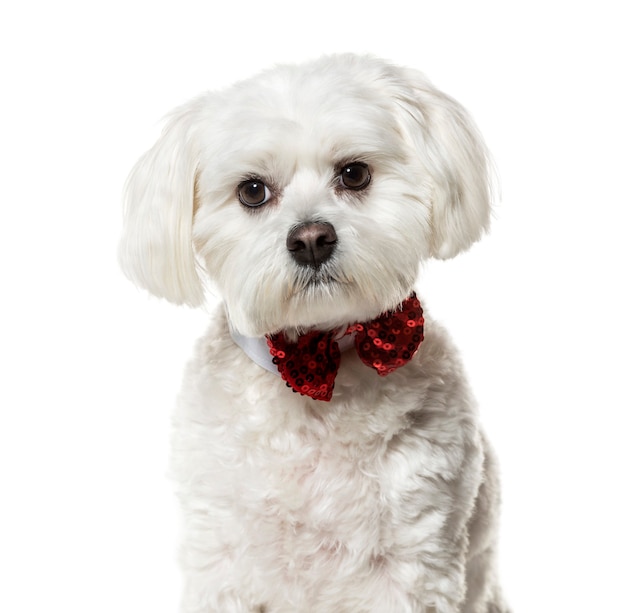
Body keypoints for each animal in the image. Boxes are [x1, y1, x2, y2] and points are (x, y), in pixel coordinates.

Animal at [118, 53, 508, 612]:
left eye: (354, 173)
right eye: (252, 191)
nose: (310, 239)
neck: (321, 358)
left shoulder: (415, 562)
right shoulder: (223, 563)